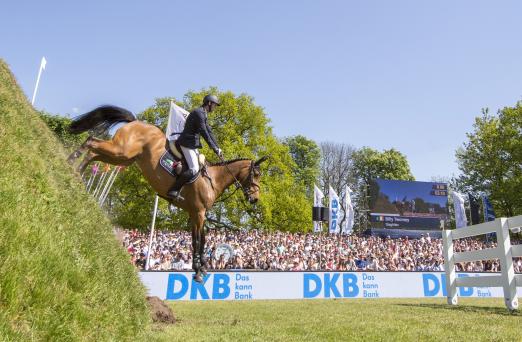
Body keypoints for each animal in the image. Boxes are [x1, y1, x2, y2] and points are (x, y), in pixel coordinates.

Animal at [66, 105, 266, 282]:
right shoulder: (199, 212)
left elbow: (200, 240)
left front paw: (201, 268)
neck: (213, 179)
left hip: (123, 158)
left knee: (94, 153)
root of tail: (136, 121)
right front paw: (198, 271)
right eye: (256, 175)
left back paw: (77, 171)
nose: (255, 199)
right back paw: (71, 161)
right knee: (92, 141)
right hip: (121, 151)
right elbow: (198, 241)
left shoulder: (196, 213)